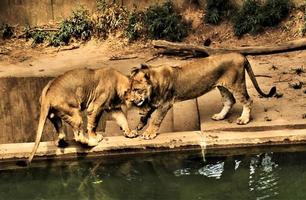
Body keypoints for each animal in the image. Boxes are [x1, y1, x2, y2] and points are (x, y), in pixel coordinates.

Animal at [128, 53, 276, 139]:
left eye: (136, 89)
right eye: (129, 89)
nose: (131, 101)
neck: (154, 85)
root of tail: (241, 55)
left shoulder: (165, 103)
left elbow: (156, 119)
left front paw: (148, 133)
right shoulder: (156, 101)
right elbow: (147, 113)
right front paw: (140, 125)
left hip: (236, 84)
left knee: (247, 101)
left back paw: (243, 119)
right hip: (223, 87)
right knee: (230, 100)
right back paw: (219, 116)